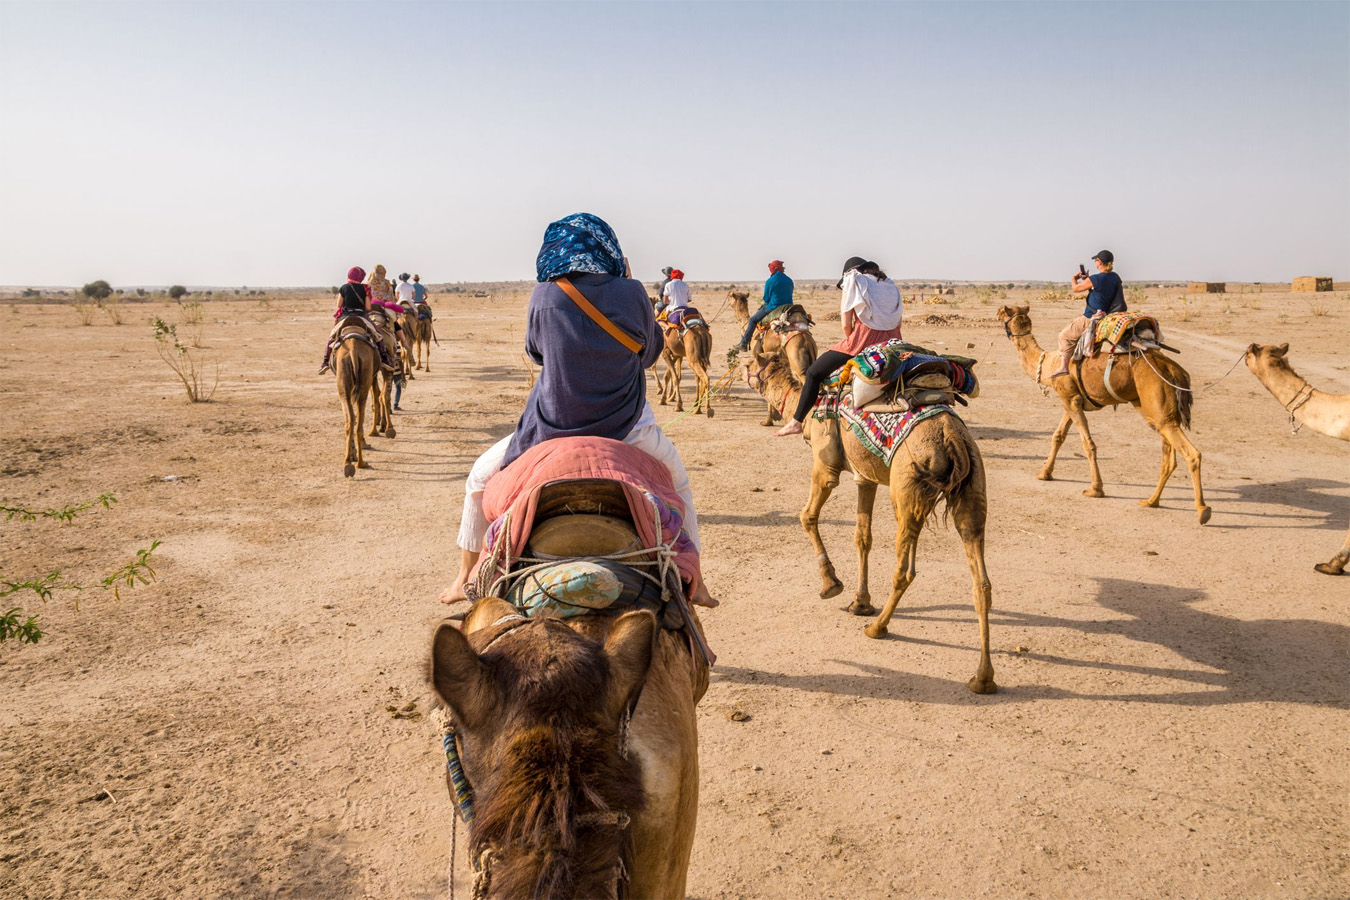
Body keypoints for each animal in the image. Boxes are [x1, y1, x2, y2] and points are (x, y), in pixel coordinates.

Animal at [332, 322, 380, 477]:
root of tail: (353, 350)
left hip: (344, 385)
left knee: (351, 419)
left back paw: (351, 462)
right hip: (362, 383)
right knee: (356, 419)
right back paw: (359, 462)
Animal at [739, 348, 993, 696]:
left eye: (751, 361)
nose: (736, 362)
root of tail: (952, 439)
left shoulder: (825, 466)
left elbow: (807, 516)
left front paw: (831, 584)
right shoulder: (866, 476)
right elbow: (862, 538)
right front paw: (859, 602)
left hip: (907, 491)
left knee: (905, 569)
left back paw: (877, 627)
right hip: (972, 490)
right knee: (981, 581)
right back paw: (982, 677)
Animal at [993, 306, 1215, 523]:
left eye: (1004, 312)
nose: (995, 314)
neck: (1050, 363)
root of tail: (1173, 369)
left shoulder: (1070, 399)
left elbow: (1088, 444)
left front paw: (1095, 489)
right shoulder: (1072, 400)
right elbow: (1058, 436)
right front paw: (1044, 473)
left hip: (1158, 409)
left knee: (1192, 454)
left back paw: (1202, 510)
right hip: (1159, 412)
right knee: (1168, 456)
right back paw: (1151, 501)